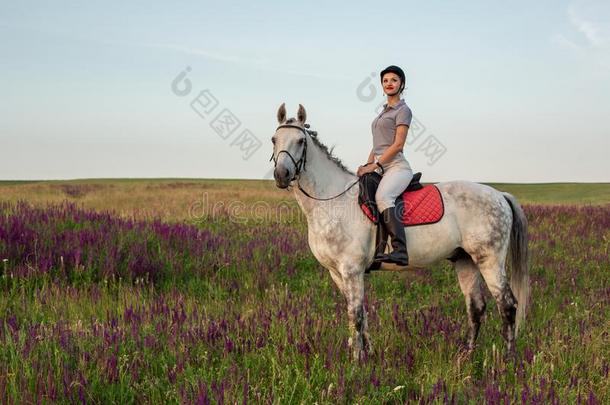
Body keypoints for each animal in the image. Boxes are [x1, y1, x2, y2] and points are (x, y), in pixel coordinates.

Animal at [268, 102, 528, 358]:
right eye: (274, 139)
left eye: (300, 141)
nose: (281, 175)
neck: (332, 200)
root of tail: (499, 195)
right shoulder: (337, 272)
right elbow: (360, 313)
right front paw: (368, 353)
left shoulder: (352, 270)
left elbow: (356, 315)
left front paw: (356, 361)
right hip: (465, 260)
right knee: (476, 307)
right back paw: (465, 357)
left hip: (489, 261)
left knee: (507, 306)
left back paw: (506, 361)